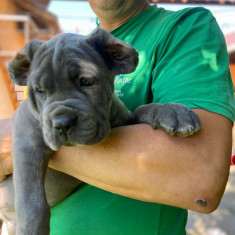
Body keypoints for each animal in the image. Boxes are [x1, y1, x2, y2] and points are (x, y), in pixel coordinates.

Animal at [0, 28, 200, 235]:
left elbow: (142, 109)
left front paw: (171, 110)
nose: (62, 123)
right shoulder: (27, 144)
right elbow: (31, 202)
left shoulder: (125, 119)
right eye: (39, 90)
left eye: (86, 81)